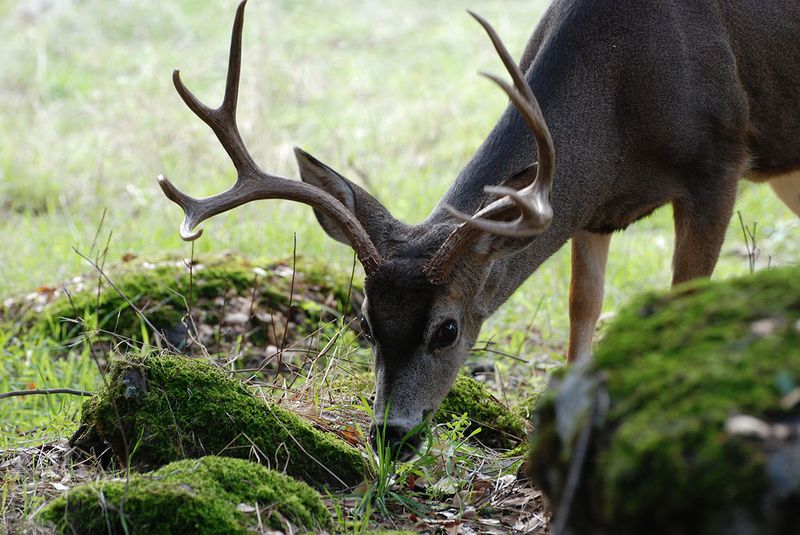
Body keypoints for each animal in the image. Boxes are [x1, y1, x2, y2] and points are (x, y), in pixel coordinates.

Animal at [158, 1, 800, 460]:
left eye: (446, 330)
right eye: (365, 321)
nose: (391, 435)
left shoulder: (718, 164)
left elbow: (683, 296)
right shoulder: (593, 210)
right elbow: (583, 308)